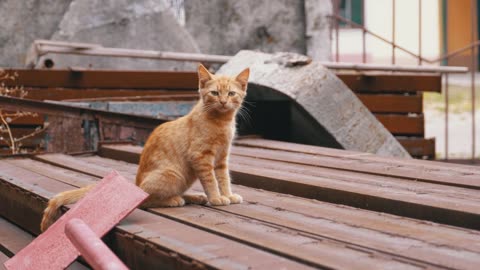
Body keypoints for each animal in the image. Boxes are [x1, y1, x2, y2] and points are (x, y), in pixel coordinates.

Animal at [39, 65, 249, 232]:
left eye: (231, 94)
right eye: (214, 93)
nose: (223, 101)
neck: (221, 122)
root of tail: (136, 184)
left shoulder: (221, 158)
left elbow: (223, 178)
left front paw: (227, 195)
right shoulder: (201, 157)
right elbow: (211, 181)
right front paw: (216, 198)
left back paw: (194, 197)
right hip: (173, 174)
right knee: (147, 199)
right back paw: (174, 200)